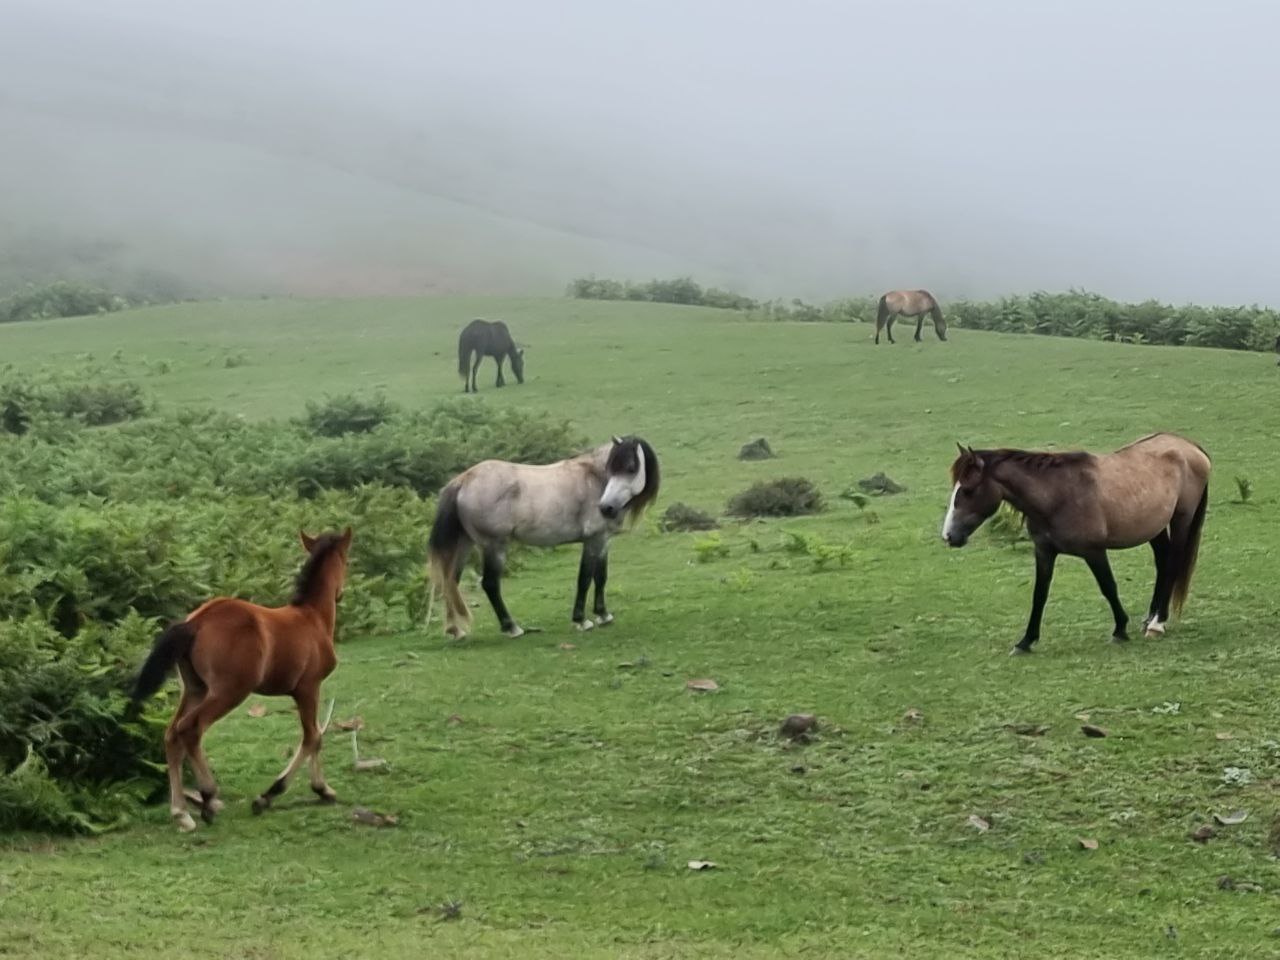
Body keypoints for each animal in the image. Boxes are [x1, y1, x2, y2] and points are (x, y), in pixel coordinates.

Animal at [129, 529, 353, 829]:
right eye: (346, 561)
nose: (340, 594)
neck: (312, 617)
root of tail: (195, 622)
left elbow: (314, 735)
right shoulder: (308, 688)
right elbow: (313, 737)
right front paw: (287, 793)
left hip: (196, 689)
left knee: (171, 734)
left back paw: (181, 812)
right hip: (229, 692)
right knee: (191, 728)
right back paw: (208, 798)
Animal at [427, 435, 660, 640]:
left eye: (630, 468)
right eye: (613, 468)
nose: (606, 508)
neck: (593, 478)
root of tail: (463, 480)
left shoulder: (604, 541)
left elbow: (601, 577)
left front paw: (603, 615)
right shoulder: (593, 541)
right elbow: (585, 578)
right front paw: (581, 620)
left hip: (464, 545)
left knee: (450, 582)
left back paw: (455, 631)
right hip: (494, 546)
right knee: (490, 584)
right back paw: (511, 628)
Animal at [942, 440, 1208, 660]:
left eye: (967, 490)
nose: (948, 536)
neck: (1057, 495)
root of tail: (1190, 446)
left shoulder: (1094, 551)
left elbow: (1108, 587)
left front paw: (1120, 629)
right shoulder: (1044, 552)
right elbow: (1039, 595)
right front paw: (1025, 641)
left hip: (1181, 519)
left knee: (1172, 564)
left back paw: (1157, 624)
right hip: (1155, 528)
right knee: (1163, 564)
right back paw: (1151, 617)